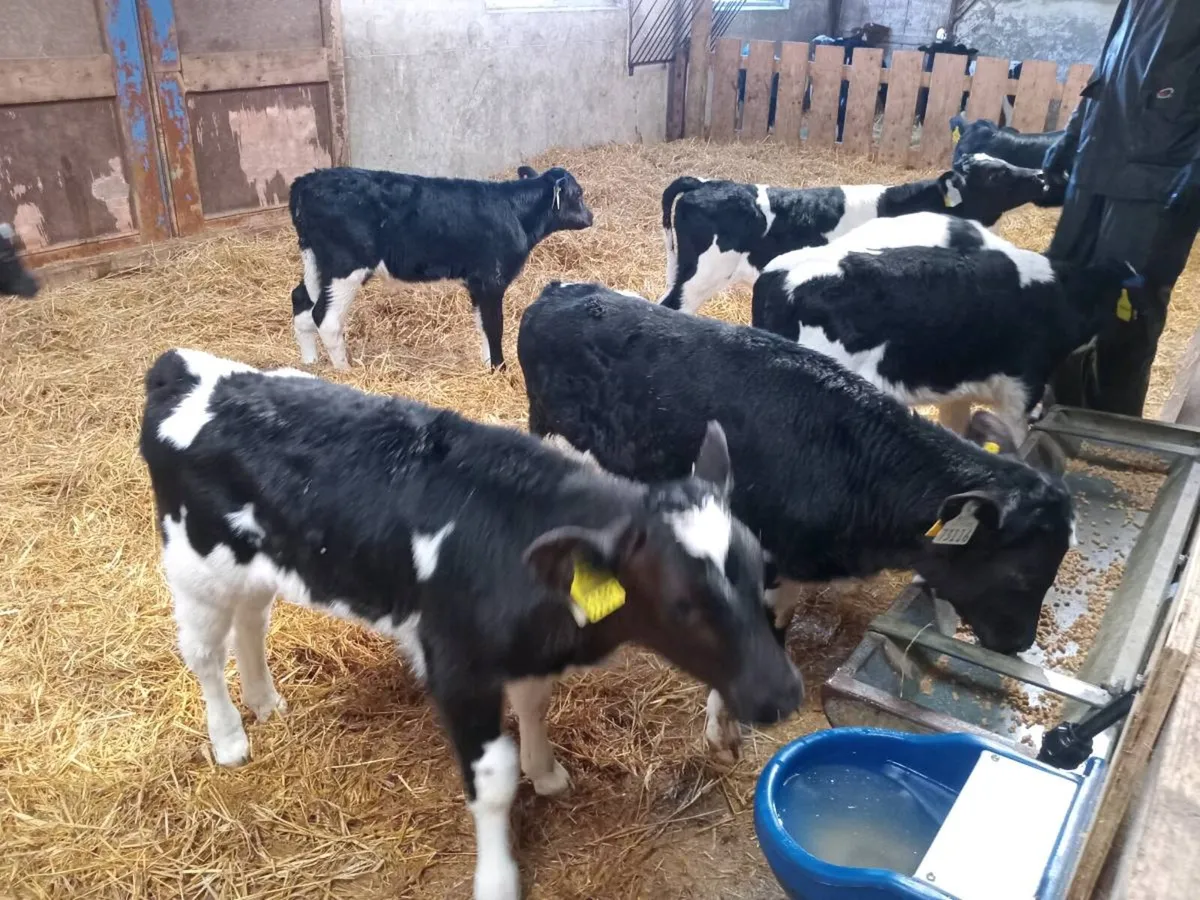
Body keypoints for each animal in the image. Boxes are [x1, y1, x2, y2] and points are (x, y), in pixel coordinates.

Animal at [139, 348, 800, 900]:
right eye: (683, 603)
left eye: (758, 571)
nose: (785, 693)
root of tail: (182, 367)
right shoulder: (456, 666)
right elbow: (493, 778)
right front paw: (498, 878)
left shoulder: (527, 649)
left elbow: (535, 705)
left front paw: (546, 771)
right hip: (194, 563)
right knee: (203, 652)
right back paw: (230, 737)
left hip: (254, 563)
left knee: (250, 621)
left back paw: (265, 701)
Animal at [288, 164, 593, 372]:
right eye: (578, 194)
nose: (591, 216)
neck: (515, 213)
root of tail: (308, 181)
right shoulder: (491, 279)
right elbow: (495, 326)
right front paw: (499, 369)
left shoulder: (477, 283)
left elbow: (483, 326)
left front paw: (488, 365)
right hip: (346, 266)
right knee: (325, 317)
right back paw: (345, 371)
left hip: (316, 262)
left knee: (301, 298)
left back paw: (310, 361)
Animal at [517, 283, 1074, 756]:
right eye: (1020, 573)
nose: (1019, 643)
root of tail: (555, 294)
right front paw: (723, 729)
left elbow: (777, 625)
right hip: (549, 433)